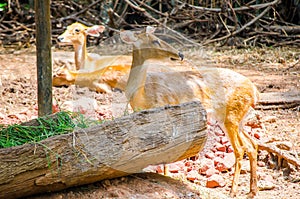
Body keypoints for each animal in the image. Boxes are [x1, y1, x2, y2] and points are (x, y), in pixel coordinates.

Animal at [120, 26, 258, 197]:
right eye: (155, 41)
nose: (180, 54)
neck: (142, 96)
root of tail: (254, 91)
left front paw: (166, 177)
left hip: (232, 115)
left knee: (240, 149)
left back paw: (233, 191)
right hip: (236, 119)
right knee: (252, 145)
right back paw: (252, 190)